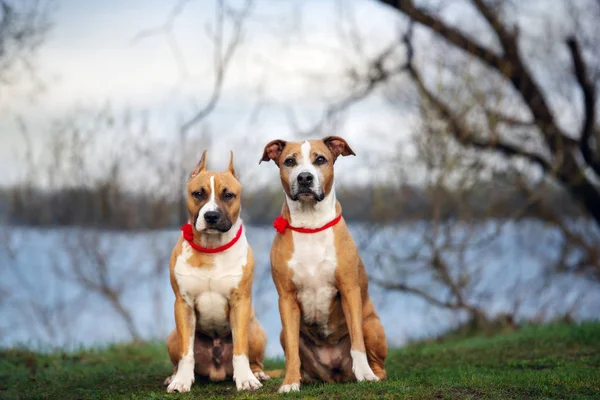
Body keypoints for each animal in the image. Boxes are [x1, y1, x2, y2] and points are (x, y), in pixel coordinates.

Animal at [163, 152, 268, 392]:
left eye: (228, 195)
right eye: (198, 193)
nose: (211, 216)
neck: (211, 248)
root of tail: (217, 370)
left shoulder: (240, 302)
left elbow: (240, 349)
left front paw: (246, 379)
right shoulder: (183, 304)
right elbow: (186, 353)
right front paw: (181, 381)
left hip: (256, 330)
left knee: (254, 358)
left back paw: (257, 372)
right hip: (172, 337)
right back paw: (172, 376)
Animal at [260, 136, 386, 392]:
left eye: (320, 159)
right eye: (290, 161)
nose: (304, 178)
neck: (310, 225)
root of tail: (335, 376)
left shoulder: (349, 290)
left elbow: (357, 341)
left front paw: (365, 374)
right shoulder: (286, 298)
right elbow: (292, 352)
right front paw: (290, 383)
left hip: (372, 326)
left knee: (378, 362)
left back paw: (372, 374)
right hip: (283, 334)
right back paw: (302, 378)